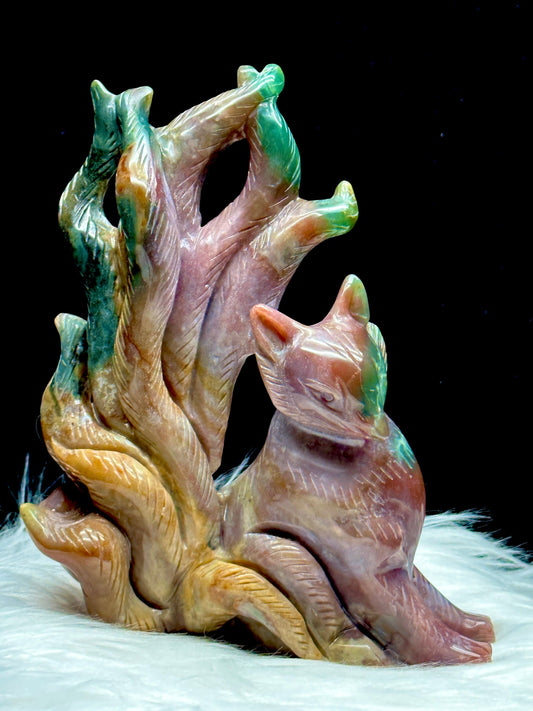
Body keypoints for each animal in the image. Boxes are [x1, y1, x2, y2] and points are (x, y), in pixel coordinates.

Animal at [219, 274, 495, 665]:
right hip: (290, 558)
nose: (371, 421)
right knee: (327, 624)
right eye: (325, 397)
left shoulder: (402, 560)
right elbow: (412, 621)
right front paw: (459, 653)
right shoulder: (364, 569)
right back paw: (366, 653)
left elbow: (431, 598)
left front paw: (473, 625)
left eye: (379, 367)